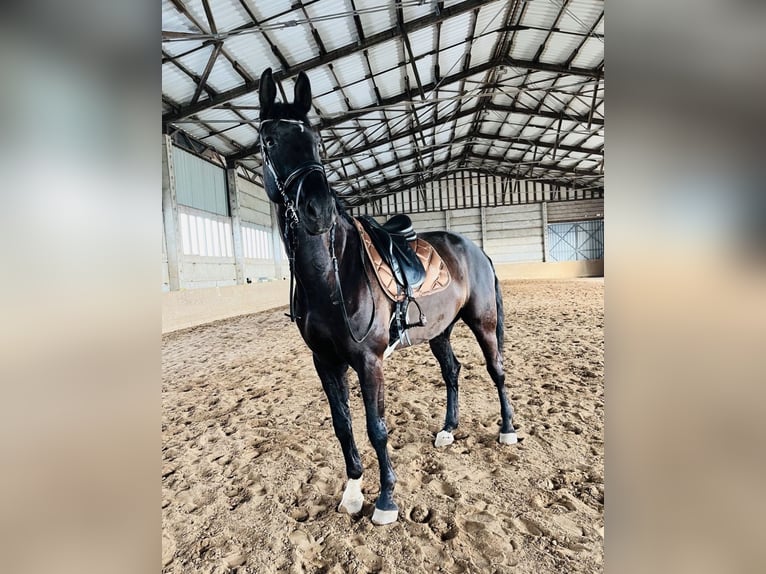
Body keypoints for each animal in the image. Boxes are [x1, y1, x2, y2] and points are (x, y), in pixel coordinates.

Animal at [256, 68, 518, 525]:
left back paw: (507, 430)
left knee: (496, 370)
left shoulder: (368, 360)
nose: (317, 209)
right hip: (439, 331)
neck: (333, 275)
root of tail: (474, 248)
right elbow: (343, 426)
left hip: (483, 322)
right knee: (453, 371)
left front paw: (386, 501)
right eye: (269, 140)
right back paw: (448, 431)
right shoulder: (325, 362)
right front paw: (353, 492)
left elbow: (376, 428)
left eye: (317, 142)